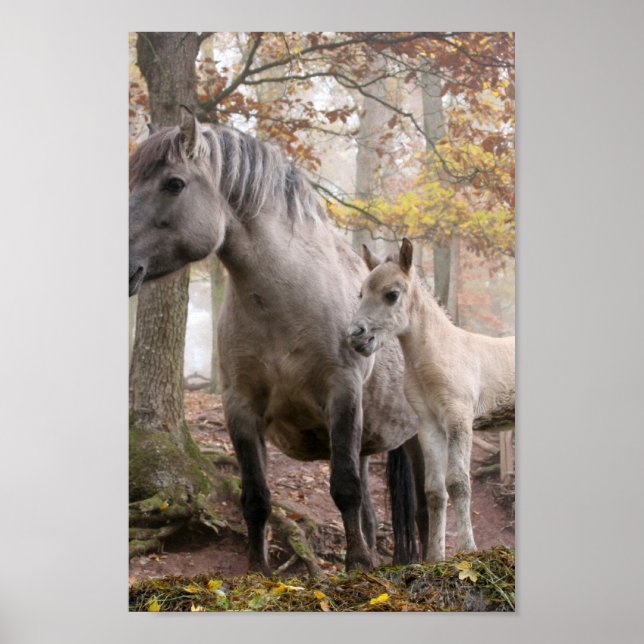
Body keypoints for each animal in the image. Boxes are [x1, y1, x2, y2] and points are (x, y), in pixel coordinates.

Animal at [128, 109, 421, 573]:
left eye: (174, 183)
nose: (124, 268)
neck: (285, 304)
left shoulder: (342, 393)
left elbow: (344, 488)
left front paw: (357, 565)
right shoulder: (241, 407)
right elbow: (256, 497)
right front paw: (259, 570)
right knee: (371, 508)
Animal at [348, 238, 515, 561]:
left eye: (392, 294)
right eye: (360, 293)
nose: (356, 337)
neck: (439, 354)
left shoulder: (459, 420)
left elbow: (459, 483)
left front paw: (468, 550)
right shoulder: (429, 426)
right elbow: (435, 490)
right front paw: (435, 557)